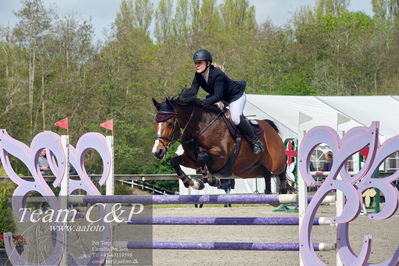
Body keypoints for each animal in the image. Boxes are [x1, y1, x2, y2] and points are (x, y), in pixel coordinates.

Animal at [152, 88, 290, 194]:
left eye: (170, 124)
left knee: (282, 170)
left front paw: (211, 179)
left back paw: (283, 191)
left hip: (276, 162)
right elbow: (174, 161)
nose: (157, 151)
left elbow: (202, 156)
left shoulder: (221, 157)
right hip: (249, 170)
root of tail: (270, 127)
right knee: (267, 175)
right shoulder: (190, 159)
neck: (199, 128)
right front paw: (194, 183)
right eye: (155, 123)